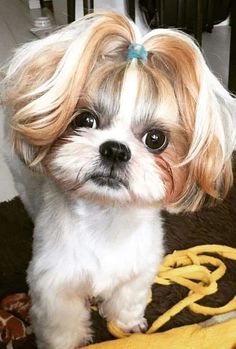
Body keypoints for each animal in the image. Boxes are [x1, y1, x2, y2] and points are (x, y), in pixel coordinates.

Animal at [1, 10, 234, 348]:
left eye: (155, 139)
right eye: (85, 120)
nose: (115, 150)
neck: (107, 222)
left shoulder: (138, 269)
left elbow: (127, 300)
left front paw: (127, 324)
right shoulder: (55, 286)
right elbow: (62, 326)